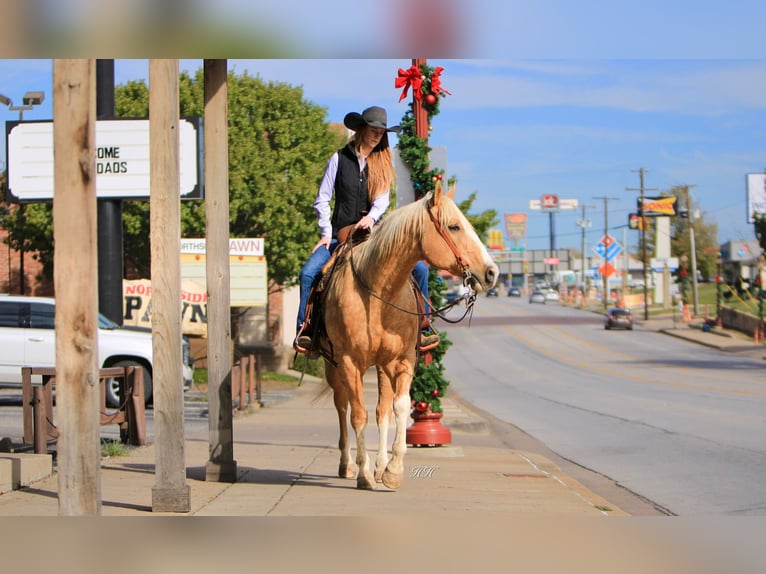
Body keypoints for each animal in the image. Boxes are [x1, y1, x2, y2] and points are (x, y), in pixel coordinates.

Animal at [318, 184, 498, 490]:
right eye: (454, 226)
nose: (491, 273)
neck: (378, 292)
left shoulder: (403, 360)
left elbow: (399, 408)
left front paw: (392, 470)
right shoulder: (349, 362)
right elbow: (358, 415)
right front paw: (365, 474)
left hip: (381, 366)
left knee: (382, 411)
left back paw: (379, 465)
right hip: (334, 366)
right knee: (342, 407)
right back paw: (348, 465)